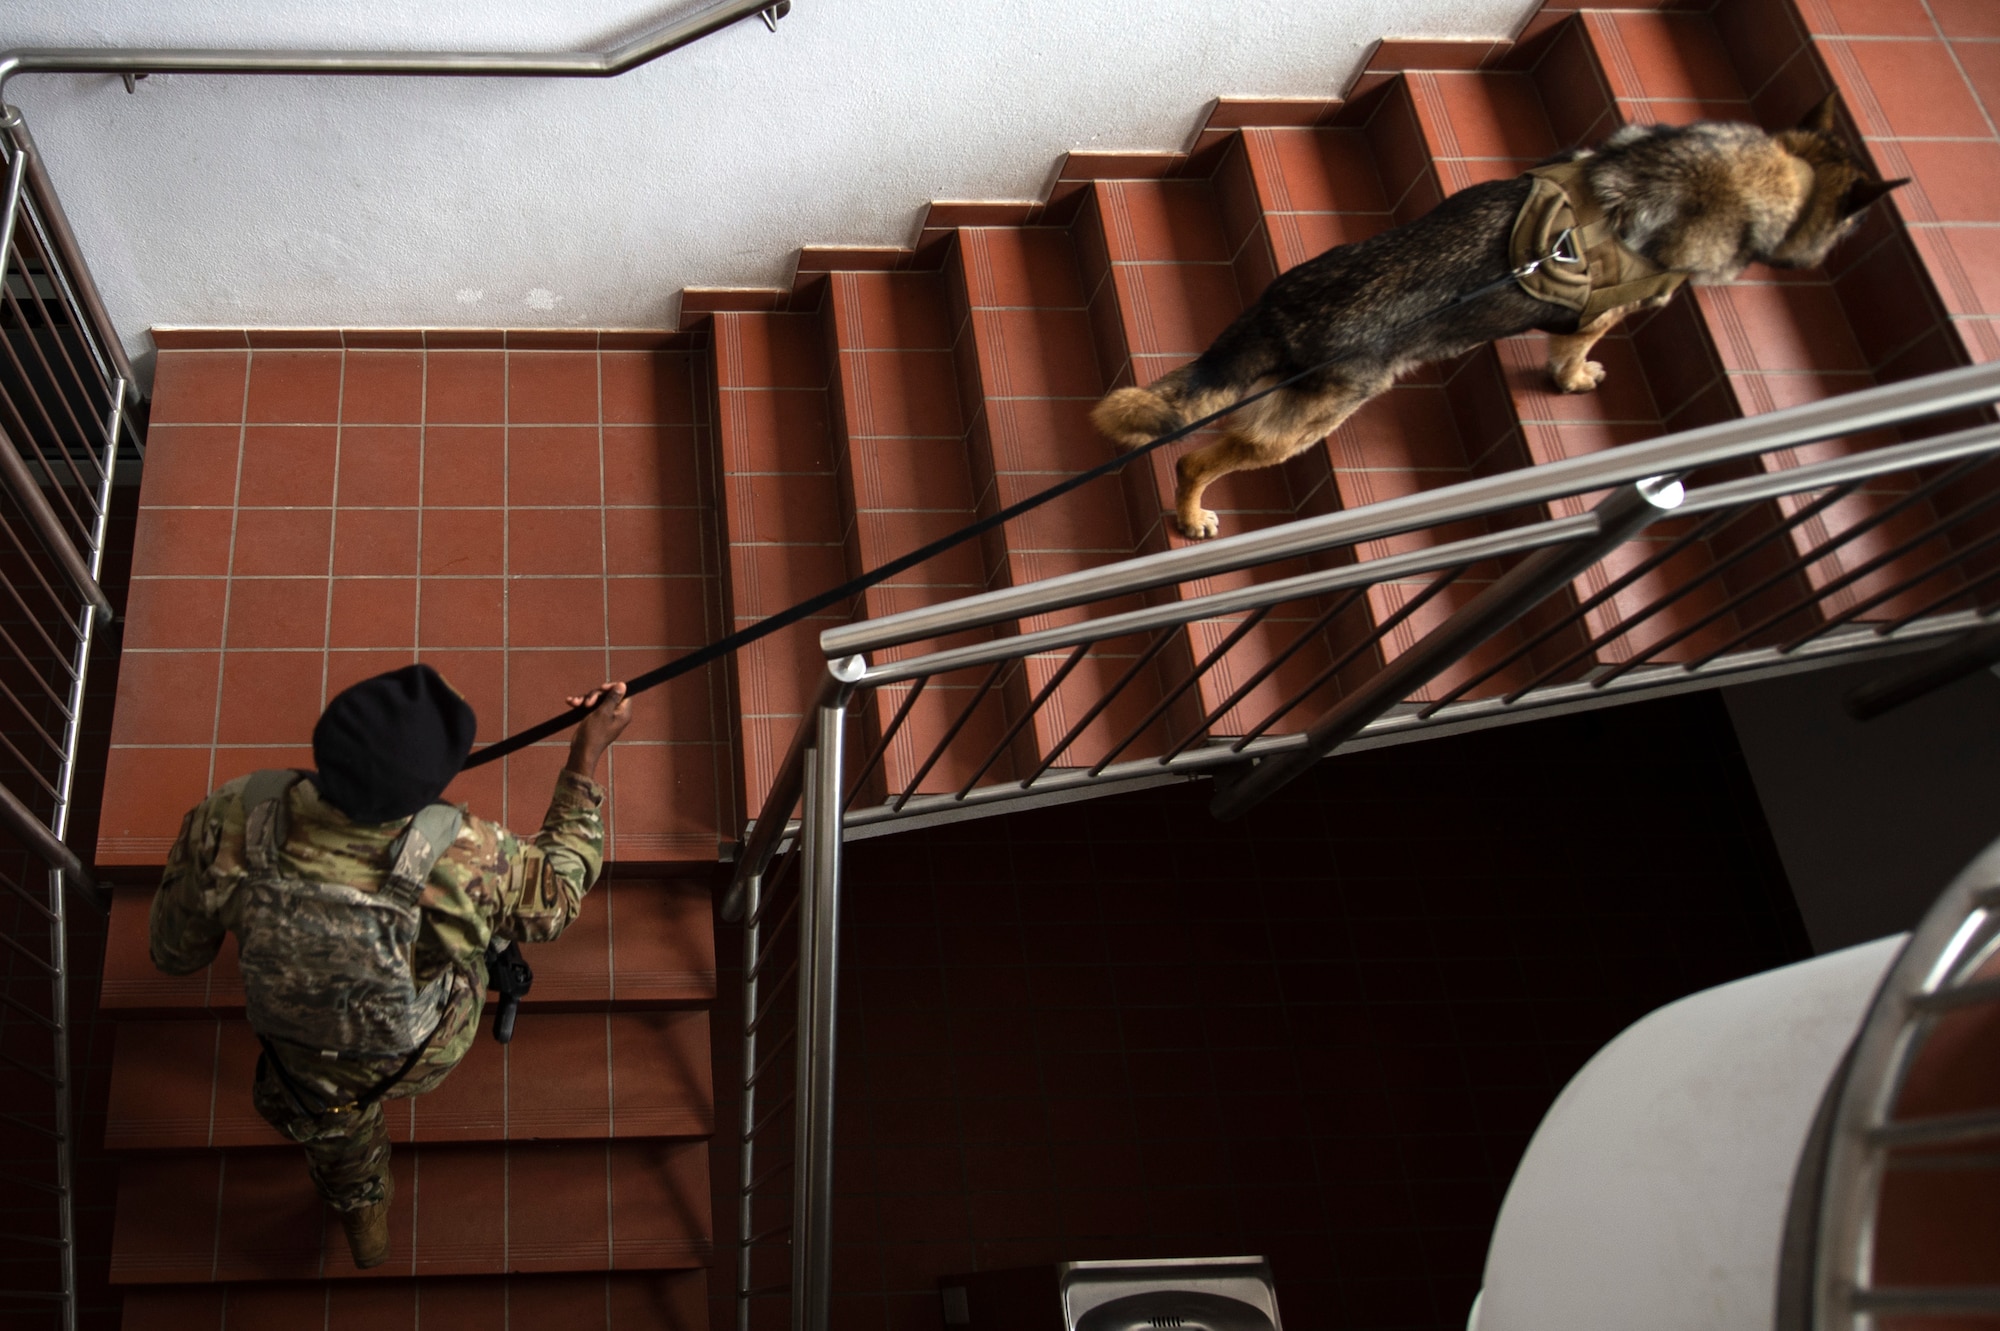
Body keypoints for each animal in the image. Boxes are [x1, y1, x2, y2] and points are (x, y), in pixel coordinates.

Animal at [1096, 94, 1904, 539]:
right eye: (1851, 225)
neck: (1747, 176)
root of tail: (1287, 306)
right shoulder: (1606, 313)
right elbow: (1577, 350)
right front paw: (1574, 380)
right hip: (1300, 428)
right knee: (1195, 457)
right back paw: (1191, 516)